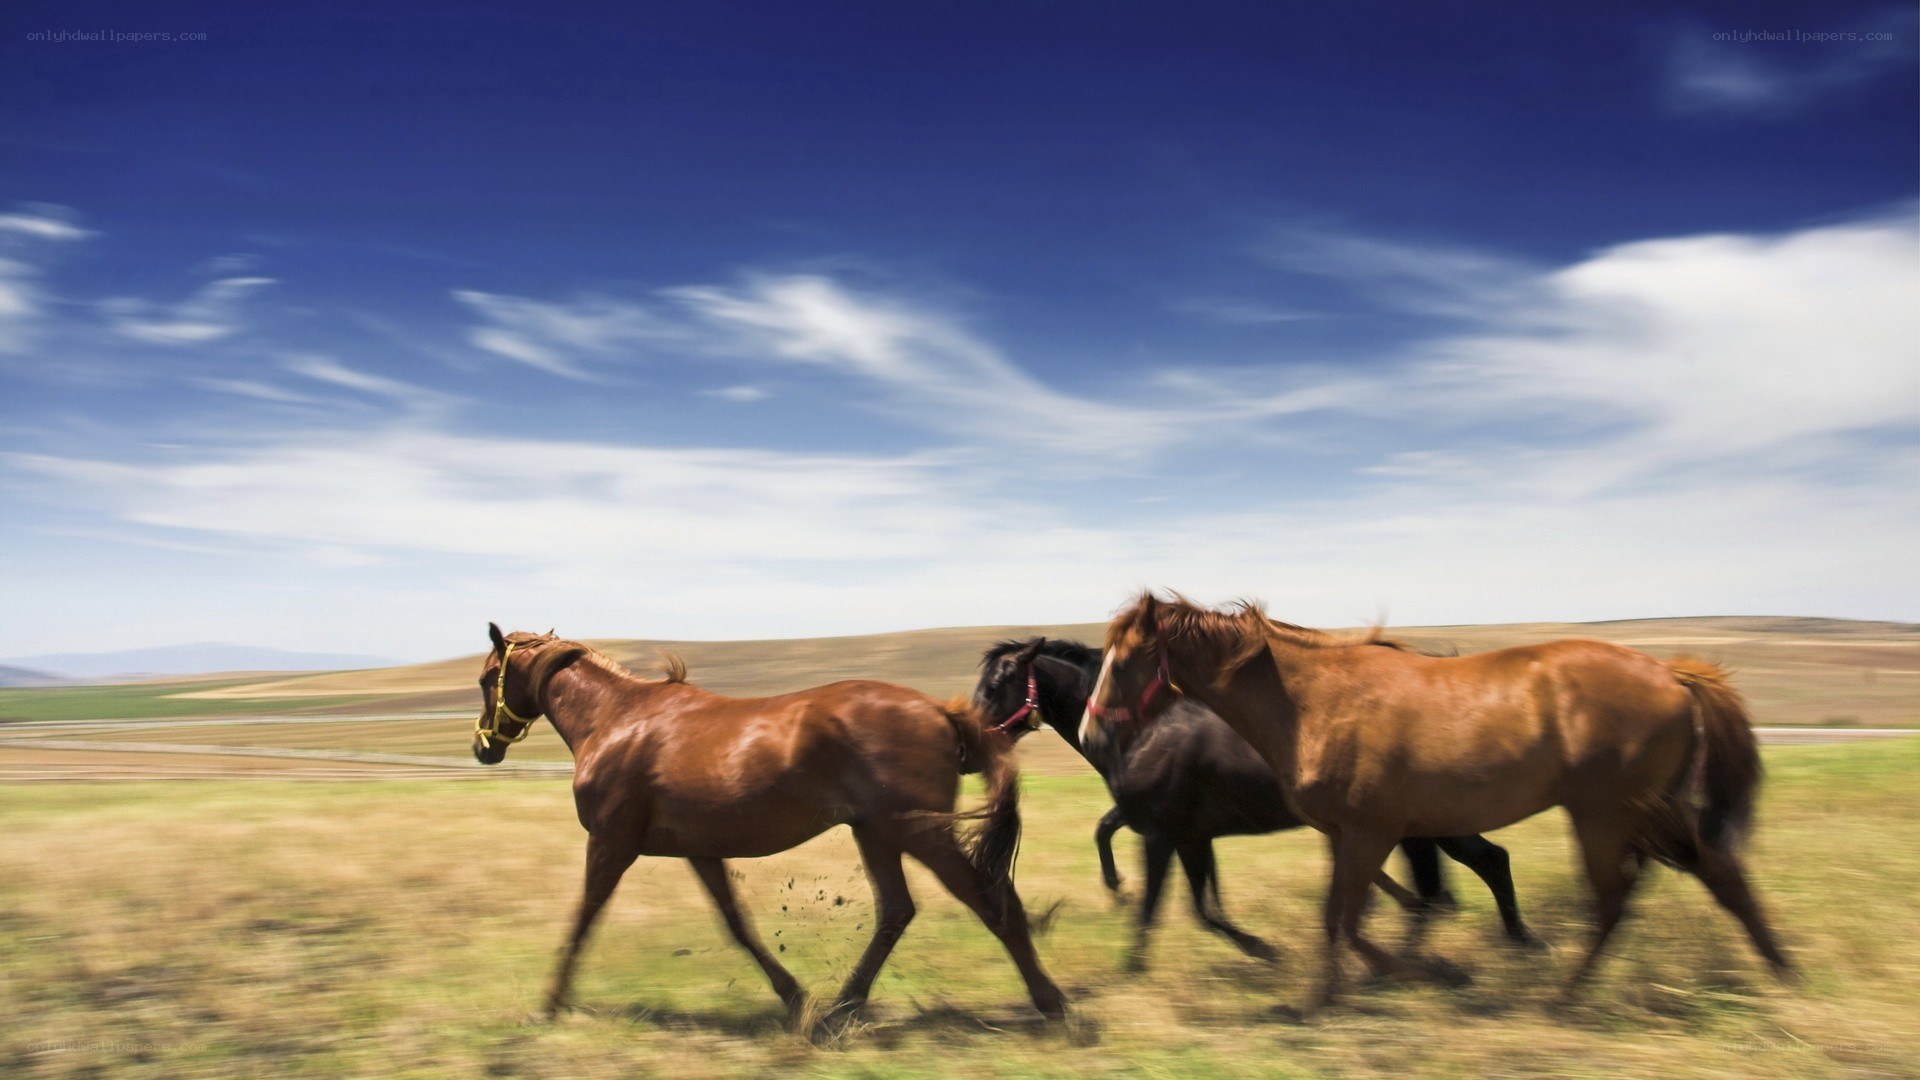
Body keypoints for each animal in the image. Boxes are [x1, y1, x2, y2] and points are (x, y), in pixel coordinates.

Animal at [471, 624, 1066, 1029]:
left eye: (484, 678)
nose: (483, 747)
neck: (615, 722)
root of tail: (941, 711)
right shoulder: (700, 850)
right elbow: (737, 925)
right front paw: (796, 998)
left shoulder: (610, 843)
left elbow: (582, 919)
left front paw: (549, 1005)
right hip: (876, 833)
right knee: (898, 911)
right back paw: (840, 1008)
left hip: (919, 834)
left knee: (990, 901)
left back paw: (1051, 1003)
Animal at [973, 637, 1538, 969]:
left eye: (997, 684)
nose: (969, 734)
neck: (1146, 729)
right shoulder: (1190, 835)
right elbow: (1205, 907)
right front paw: (1264, 950)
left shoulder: (1161, 835)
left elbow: (1158, 906)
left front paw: (1131, 959)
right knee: (1452, 879)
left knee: (1478, 865)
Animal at [1079, 593, 1794, 1012]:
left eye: (1127, 659)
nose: (1091, 735)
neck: (1311, 704)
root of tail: (1672, 676)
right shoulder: (1349, 836)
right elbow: (1348, 915)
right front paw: (1350, 988)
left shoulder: (1372, 833)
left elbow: (1352, 919)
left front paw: (1407, 976)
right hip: (1642, 814)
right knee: (1714, 873)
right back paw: (1782, 971)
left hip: (1609, 814)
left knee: (1620, 898)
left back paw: (1562, 998)